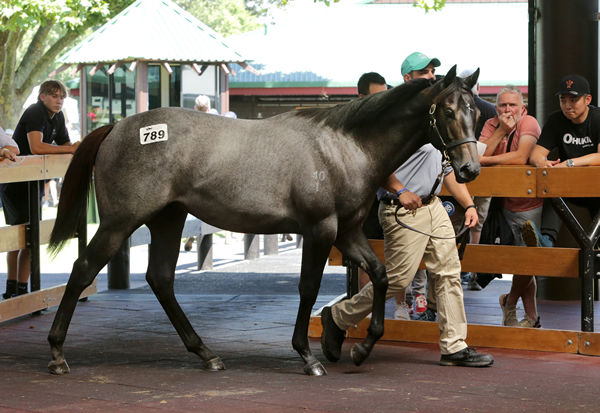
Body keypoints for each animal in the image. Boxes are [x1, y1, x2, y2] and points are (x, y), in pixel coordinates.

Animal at [45, 66, 478, 374]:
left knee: (161, 279)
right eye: (449, 111)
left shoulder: (348, 232)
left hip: (169, 218)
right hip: (121, 221)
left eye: (474, 111)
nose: (469, 169)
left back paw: (206, 353)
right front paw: (307, 356)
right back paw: (57, 352)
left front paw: (358, 347)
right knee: (84, 269)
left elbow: (382, 275)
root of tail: (116, 126)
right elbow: (308, 288)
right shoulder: (319, 229)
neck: (343, 146)